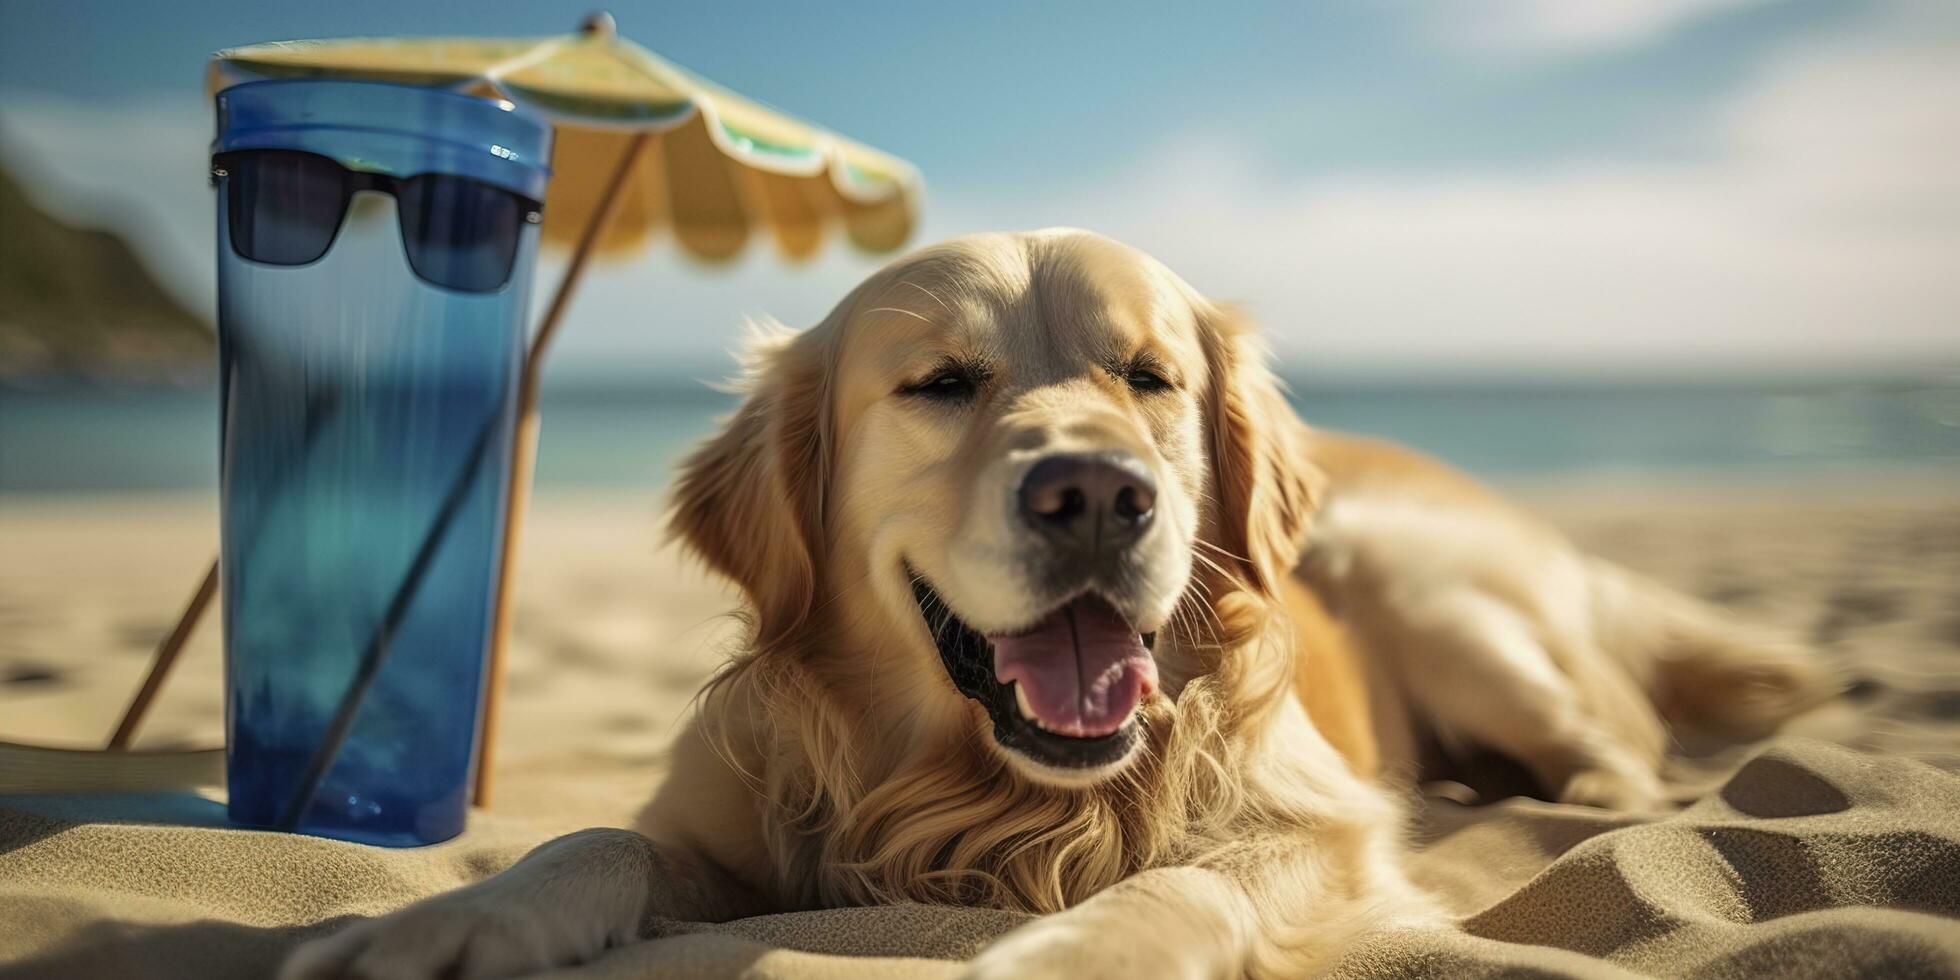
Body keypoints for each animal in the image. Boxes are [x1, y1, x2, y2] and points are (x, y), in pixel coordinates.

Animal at [284, 231, 1826, 980]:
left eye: (1148, 376)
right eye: (941, 384)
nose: (1094, 493)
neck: (992, 795)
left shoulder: (1319, 825)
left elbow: (1189, 876)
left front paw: (1075, 950)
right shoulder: (723, 820)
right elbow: (591, 839)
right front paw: (447, 925)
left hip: (1446, 601)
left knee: (1619, 755)